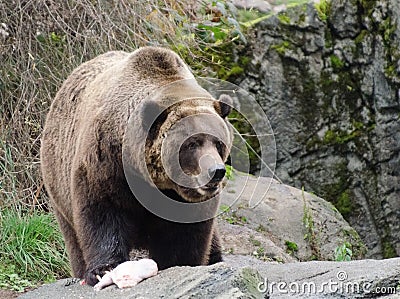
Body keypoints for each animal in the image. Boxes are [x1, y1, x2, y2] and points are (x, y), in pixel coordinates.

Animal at [39, 46, 231, 286]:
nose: (216, 172)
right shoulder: (106, 163)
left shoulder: (183, 201)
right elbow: (102, 213)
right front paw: (104, 269)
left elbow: (185, 234)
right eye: (191, 143)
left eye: (219, 143)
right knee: (74, 239)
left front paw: (180, 263)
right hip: (58, 185)